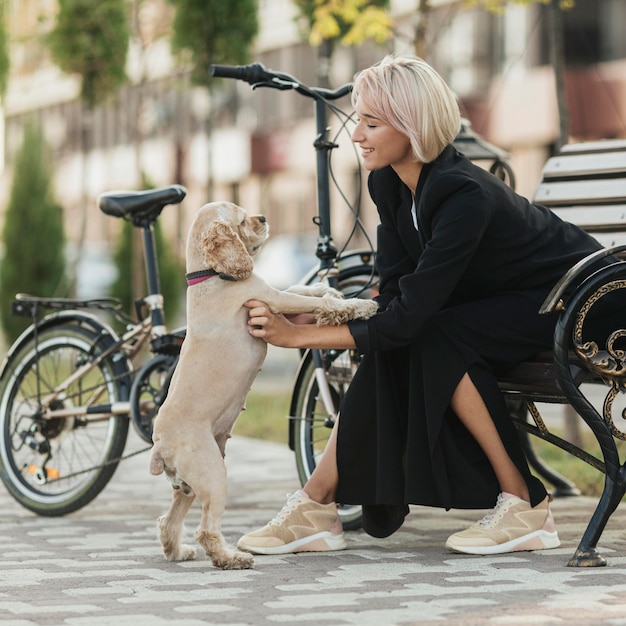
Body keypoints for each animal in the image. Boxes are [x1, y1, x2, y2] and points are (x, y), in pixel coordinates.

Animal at [150, 201, 376, 572]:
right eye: (242, 220)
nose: (264, 218)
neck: (209, 274)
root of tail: (160, 447)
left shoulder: (271, 294)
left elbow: (305, 290)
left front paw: (330, 288)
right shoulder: (270, 299)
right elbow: (312, 302)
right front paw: (358, 305)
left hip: (188, 485)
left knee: (167, 521)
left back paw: (179, 552)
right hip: (213, 475)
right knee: (206, 530)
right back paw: (232, 559)